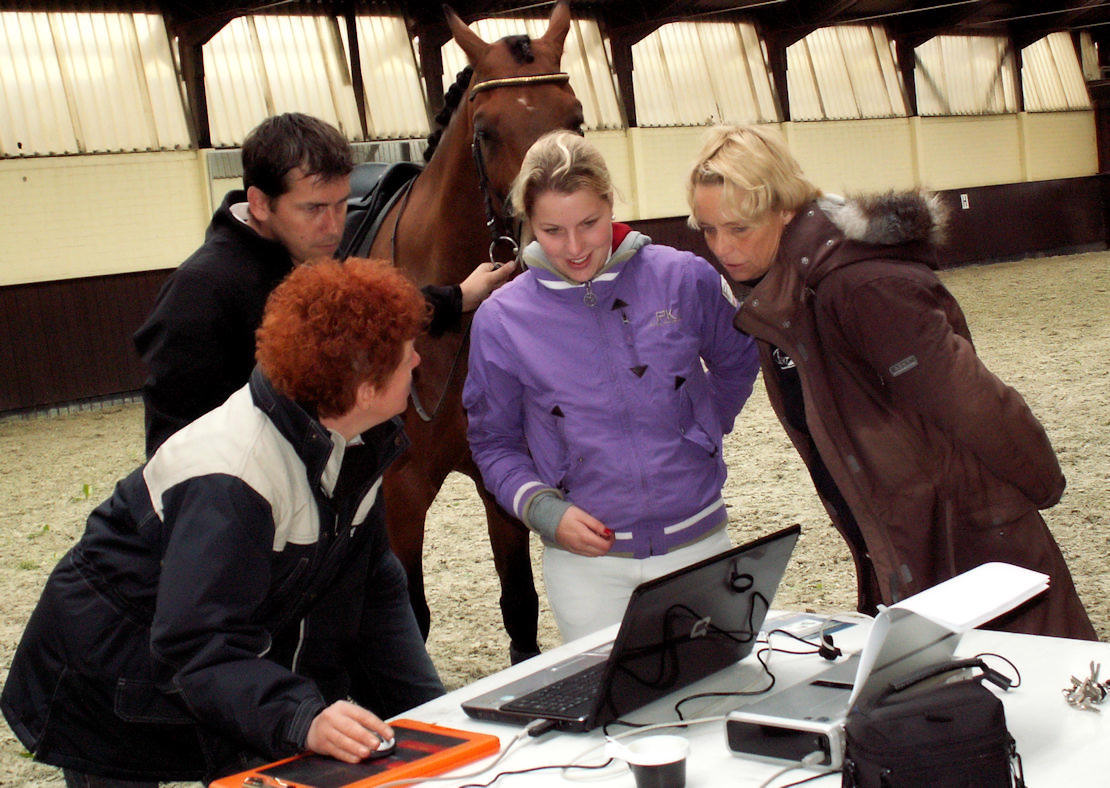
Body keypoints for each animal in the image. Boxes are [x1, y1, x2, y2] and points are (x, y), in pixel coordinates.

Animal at [357, 3, 581, 661]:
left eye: (576, 120)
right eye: (484, 132)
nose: (548, 238)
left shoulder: (497, 477)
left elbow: (521, 606)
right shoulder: (403, 488)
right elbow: (413, 614)